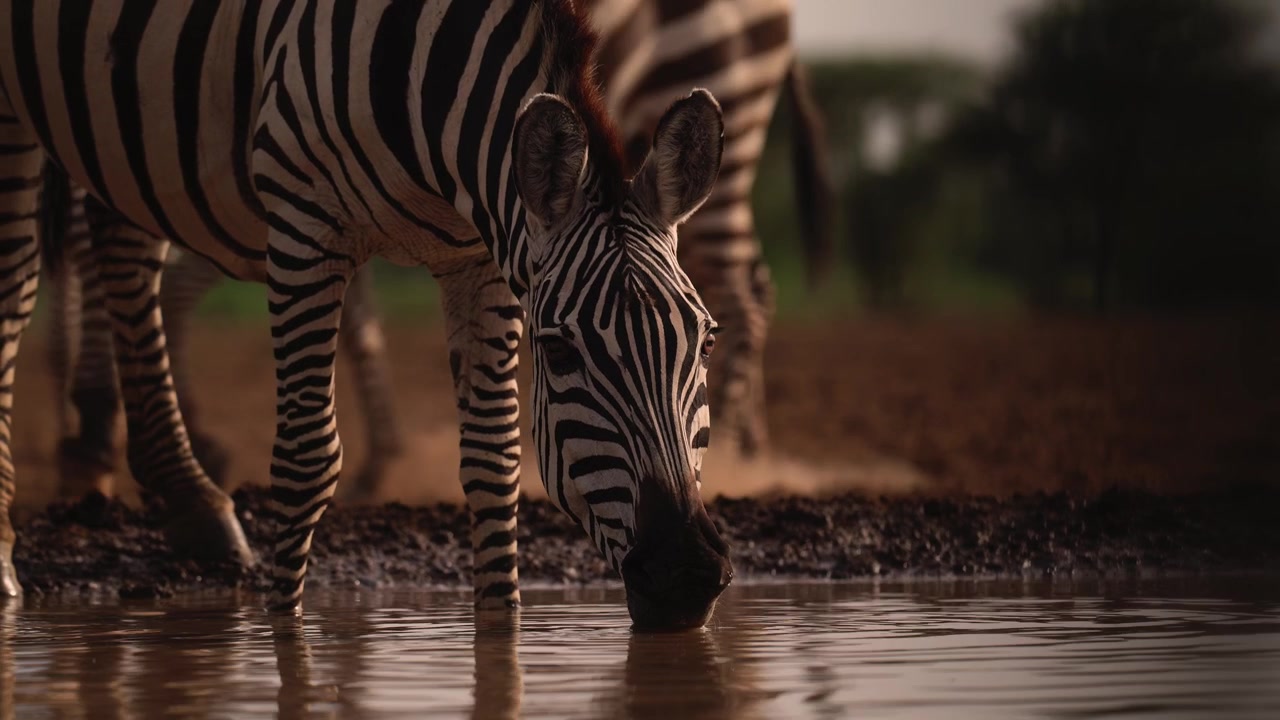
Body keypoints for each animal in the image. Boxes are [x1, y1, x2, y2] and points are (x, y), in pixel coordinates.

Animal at [0, 0, 733, 629]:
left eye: (704, 343)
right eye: (557, 351)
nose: (687, 576)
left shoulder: (482, 259)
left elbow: (494, 462)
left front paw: (500, 638)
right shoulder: (304, 225)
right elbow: (308, 458)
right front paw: (283, 635)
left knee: (121, 240)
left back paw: (191, 500)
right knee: (16, 290)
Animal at [45, 0, 833, 504]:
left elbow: (131, 261)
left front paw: (108, 432)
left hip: (706, 101)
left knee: (742, 295)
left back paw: (737, 456)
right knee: (753, 288)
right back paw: (751, 445)